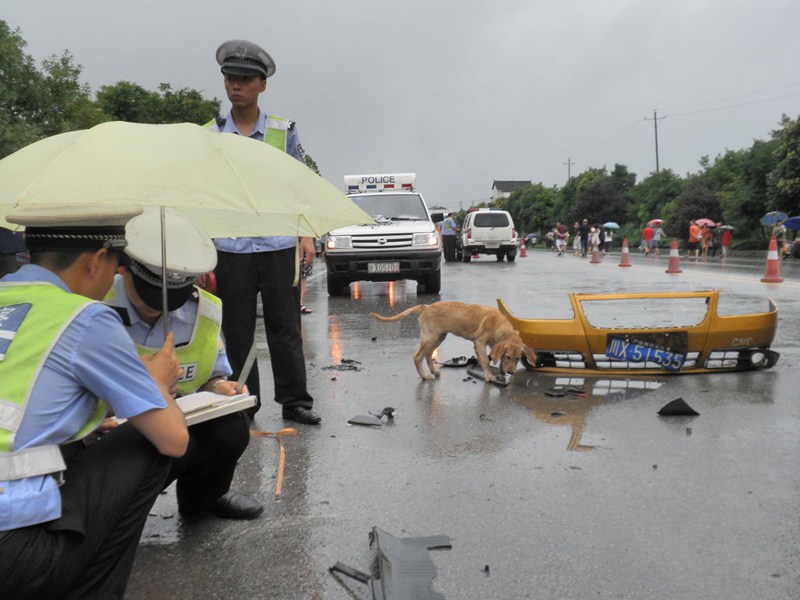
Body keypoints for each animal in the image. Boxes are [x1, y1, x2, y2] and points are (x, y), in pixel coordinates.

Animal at [374, 302, 536, 382]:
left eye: (517, 359)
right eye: (508, 356)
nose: (511, 372)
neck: (498, 325)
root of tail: (425, 307)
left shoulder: (492, 344)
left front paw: (500, 371)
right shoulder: (480, 342)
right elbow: (484, 359)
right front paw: (489, 376)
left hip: (439, 337)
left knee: (428, 355)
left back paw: (433, 371)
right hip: (430, 337)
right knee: (418, 357)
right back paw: (425, 376)